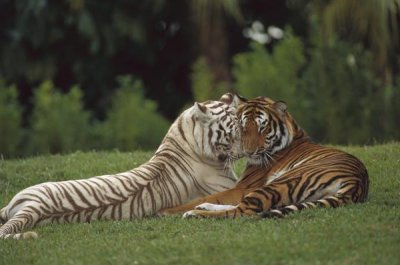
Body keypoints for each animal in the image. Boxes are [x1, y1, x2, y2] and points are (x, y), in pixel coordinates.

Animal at [160, 95, 368, 217]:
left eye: (263, 127)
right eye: (243, 127)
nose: (249, 152)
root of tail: (357, 182)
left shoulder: (244, 187)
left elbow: (209, 197)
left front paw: (168, 211)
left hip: (281, 182)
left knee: (243, 211)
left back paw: (195, 213)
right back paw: (203, 208)